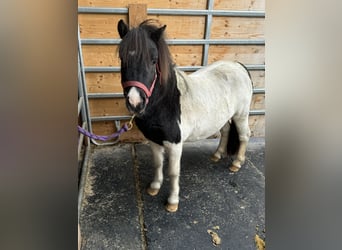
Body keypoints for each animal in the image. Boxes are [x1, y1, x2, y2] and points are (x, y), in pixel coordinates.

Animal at [117, 19, 254, 212]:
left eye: (153, 60)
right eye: (122, 58)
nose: (135, 102)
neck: (166, 103)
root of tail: (239, 66)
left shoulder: (175, 145)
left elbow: (173, 172)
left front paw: (172, 202)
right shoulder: (154, 141)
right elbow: (157, 164)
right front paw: (154, 187)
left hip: (241, 115)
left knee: (244, 135)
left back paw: (236, 163)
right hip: (223, 118)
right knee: (226, 131)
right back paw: (217, 155)